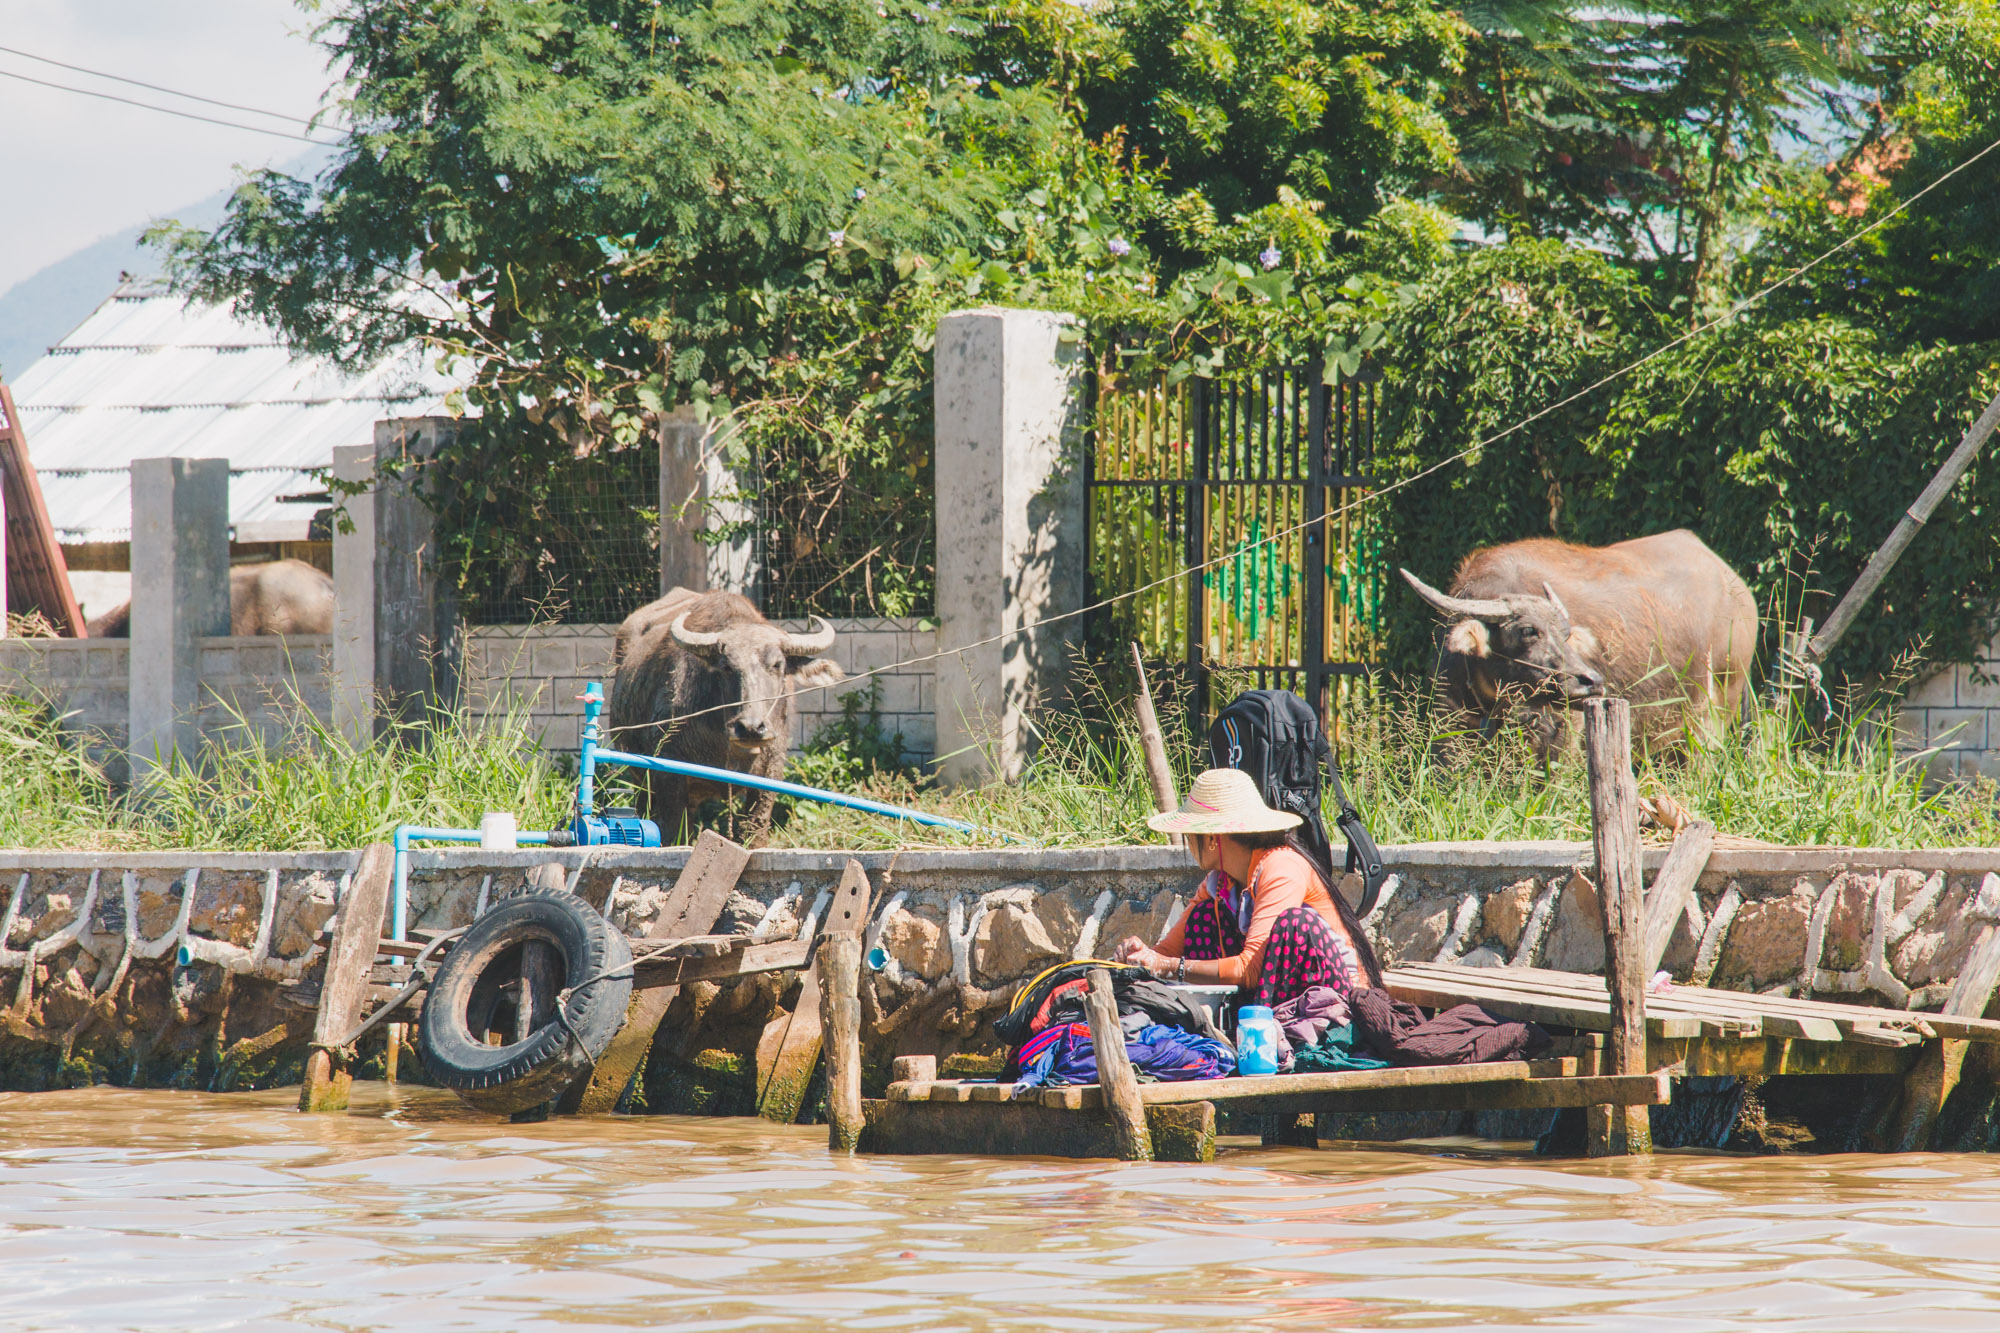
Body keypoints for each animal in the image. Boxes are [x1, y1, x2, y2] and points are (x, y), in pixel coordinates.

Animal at [600, 588, 836, 840]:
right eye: (727, 666)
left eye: (777, 665)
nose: (751, 727)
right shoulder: (668, 772)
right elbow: (671, 831)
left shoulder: (770, 771)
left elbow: (754, 832)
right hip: (640, 777)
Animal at [1400, 528, 1760, 756]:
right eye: (1528, 630)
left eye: (1564, 634)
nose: (1591, 681)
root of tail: (1737, 589)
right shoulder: (1450, 723)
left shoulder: (1561, 731)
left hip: (1716, 705)